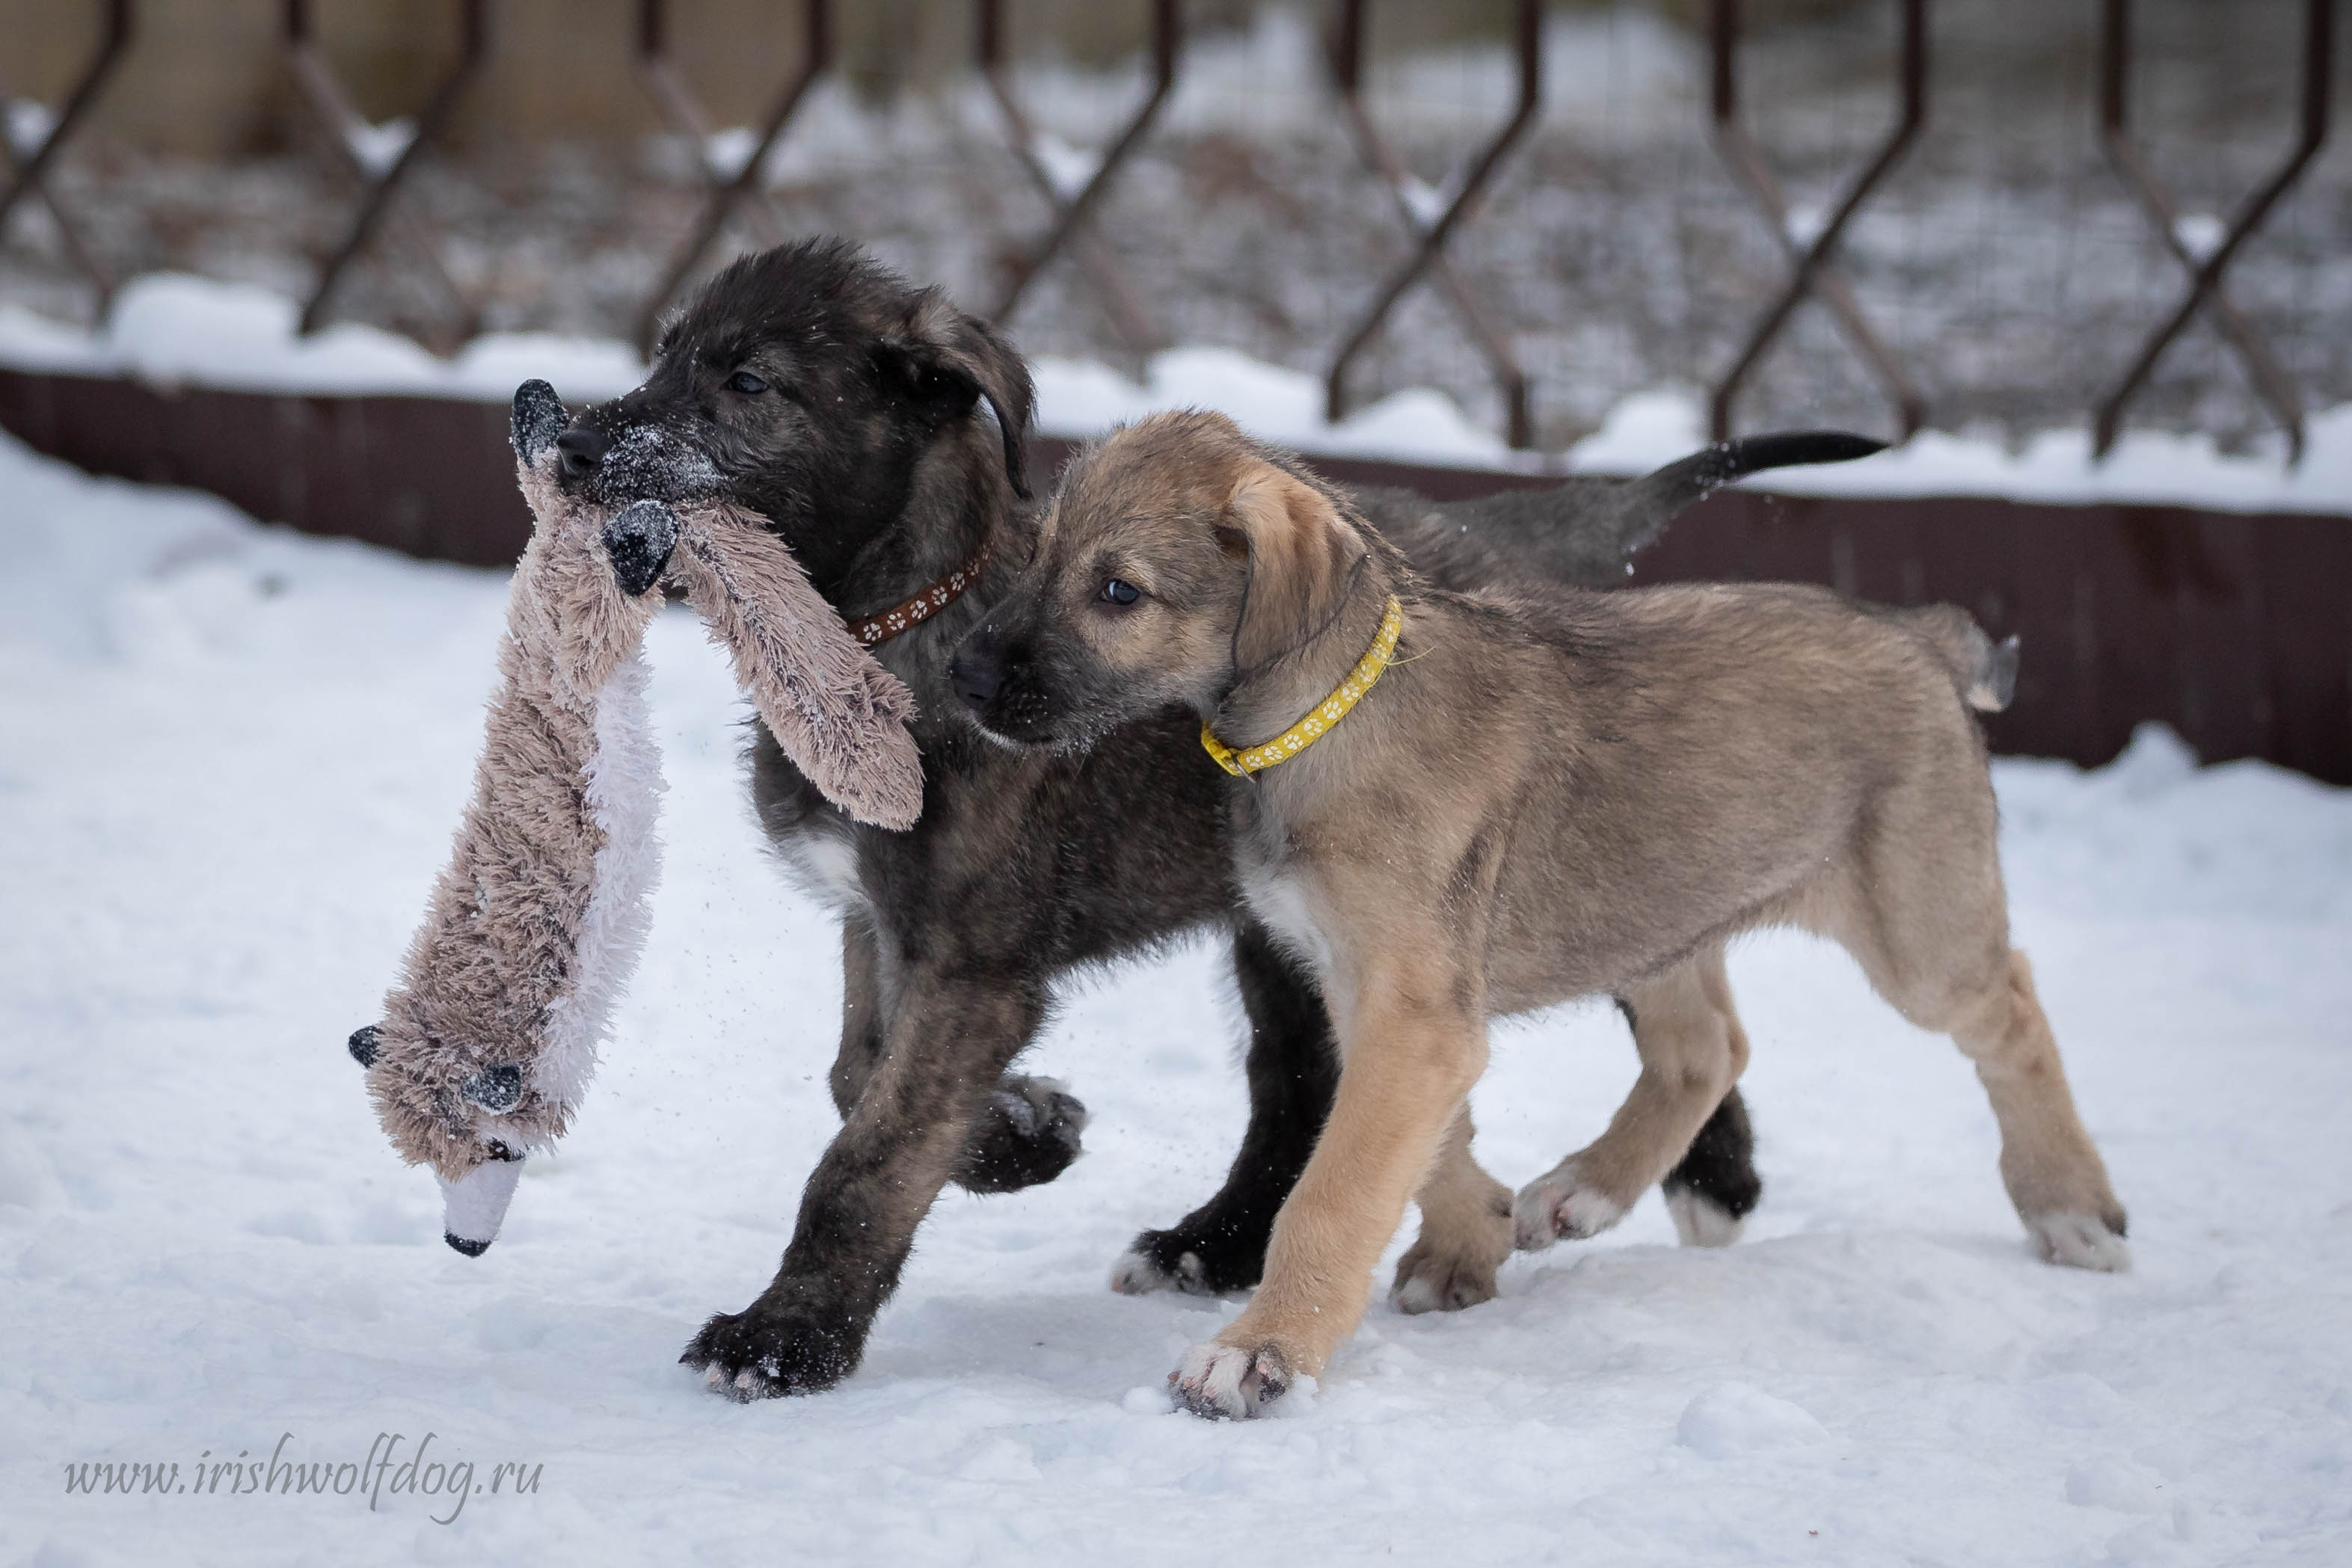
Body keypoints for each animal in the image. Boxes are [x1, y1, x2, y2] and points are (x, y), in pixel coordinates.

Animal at [550, 236, 1872, 1401]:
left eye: (748, 383)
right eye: (665, 355)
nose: (564, 442)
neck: (891, 626)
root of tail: (1515, 532)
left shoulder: (971, 958)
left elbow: (866, 1154)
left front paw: (786, 1338)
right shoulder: (879, 924)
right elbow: (853, 1076)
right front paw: (1028, 1129)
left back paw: (1710, 1184)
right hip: (1284, 929)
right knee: (1297, 1080)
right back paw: (1220, 1240)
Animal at [950, 413, 2135, 1419]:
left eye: (1118, 590)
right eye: (1038, 555)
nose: (959, 674)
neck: (1327, 720)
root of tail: (1919, 635)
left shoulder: (1413, 1011)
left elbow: (1334, 1188)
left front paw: (1264, 1351)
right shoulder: (1374, 993)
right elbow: (1423, 1143)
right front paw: (1468, 1236)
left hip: (1915, 927)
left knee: (2010, 1013)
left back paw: (2072, 1206)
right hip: (1657, 905)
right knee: (1707, 1047)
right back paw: (1584, 1192)